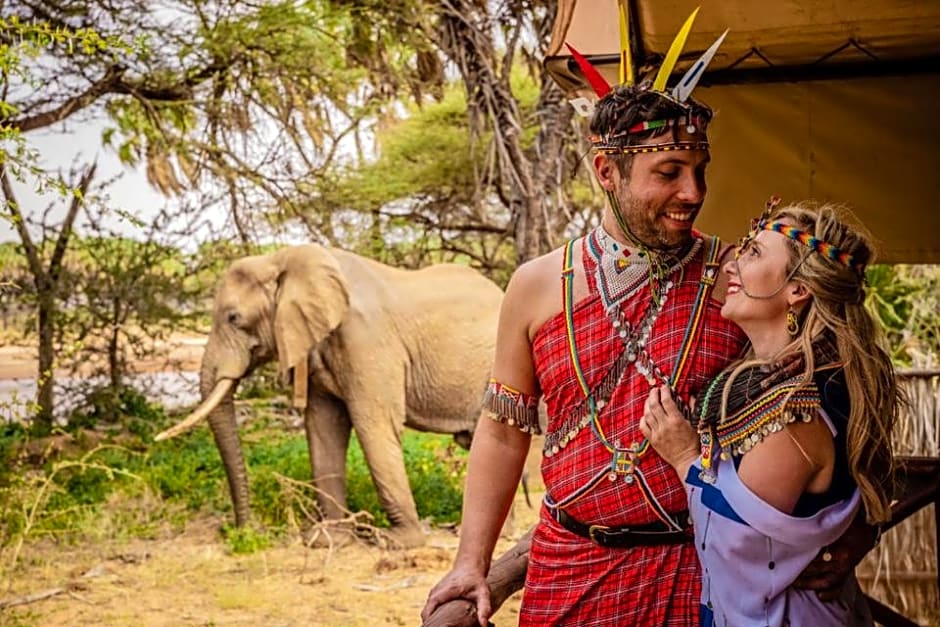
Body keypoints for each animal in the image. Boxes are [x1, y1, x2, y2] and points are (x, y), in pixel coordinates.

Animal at [158, 245, 504, 548]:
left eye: (233, 318)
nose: (248, 532)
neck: (283, 258)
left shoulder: (367, 340)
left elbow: (373, 425)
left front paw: (397, 542)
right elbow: (324, 429)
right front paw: (327, 540)